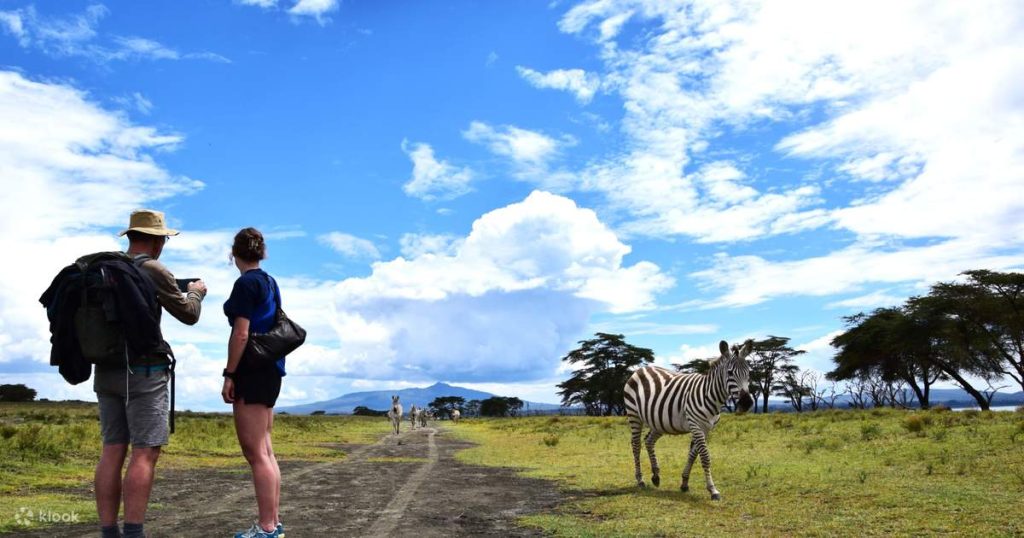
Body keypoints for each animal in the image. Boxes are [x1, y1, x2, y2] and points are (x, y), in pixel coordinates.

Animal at [624, 339, 754, 500]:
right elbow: (705, 457)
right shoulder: (696, 425)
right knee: (636, 445)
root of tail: (640, 369)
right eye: (730, 373)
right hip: (634, 414)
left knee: (648, 441)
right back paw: (640, 480)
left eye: (748, 373)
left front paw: (684, 483)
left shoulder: (706, 428)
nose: (747, 403)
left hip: (659, 422)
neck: (710, 394)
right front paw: (713, 490)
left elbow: (693, 455)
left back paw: (655, 476)